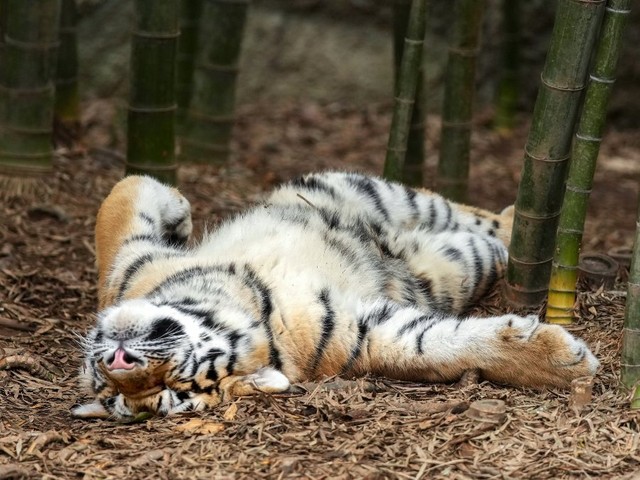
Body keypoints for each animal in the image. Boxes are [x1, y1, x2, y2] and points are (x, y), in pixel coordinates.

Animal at [72, 172, 596, 420]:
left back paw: (525, 220)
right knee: (483, 243)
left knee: (465, 212)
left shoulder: (129, 267)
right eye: (119, 393)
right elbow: (434, 347)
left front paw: (179, 211)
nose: (118, 361)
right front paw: (565, 364)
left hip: (368, 190)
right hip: (460, 262)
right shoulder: (362, 333)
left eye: (176, 381)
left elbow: (119, 195)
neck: (245, 300)